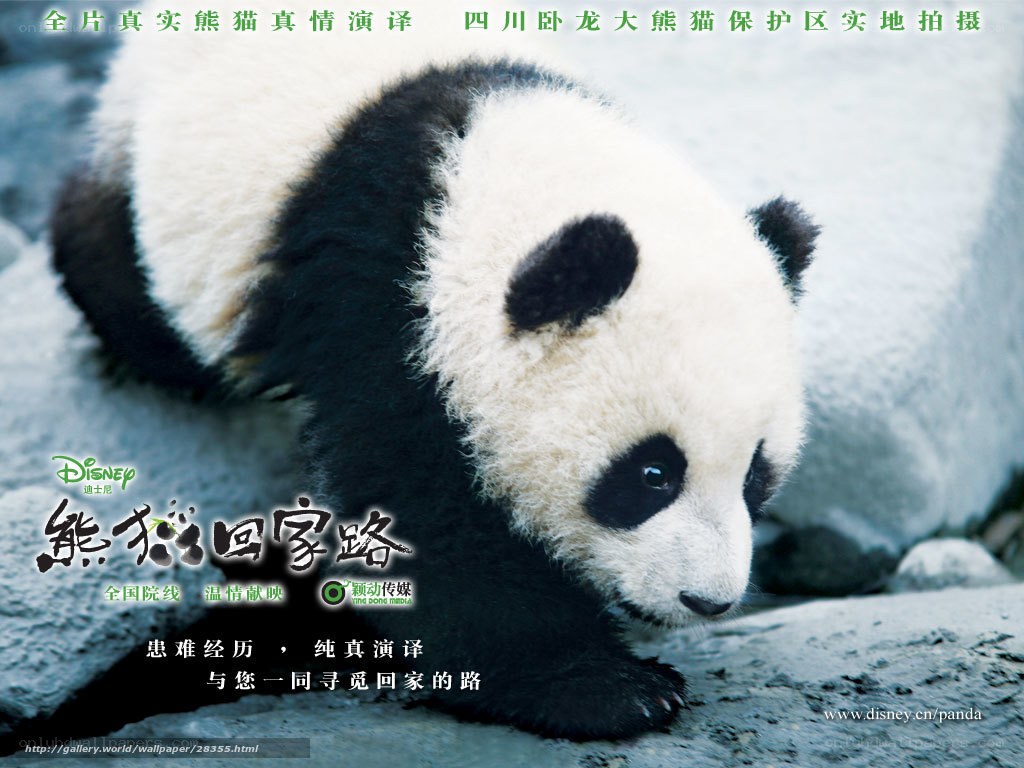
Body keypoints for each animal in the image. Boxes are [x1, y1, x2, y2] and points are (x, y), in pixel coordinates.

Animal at [51, 1, 818, 742]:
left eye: (757, 476)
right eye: (652, 473)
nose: (708, 600)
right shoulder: (383, 301)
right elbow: (424, 513)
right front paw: (602, 688)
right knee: (114, 271)